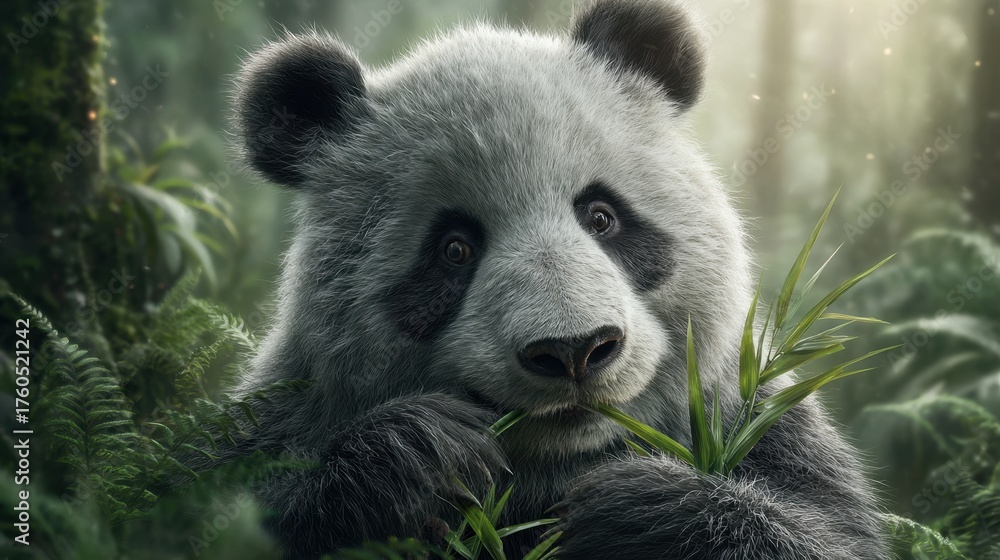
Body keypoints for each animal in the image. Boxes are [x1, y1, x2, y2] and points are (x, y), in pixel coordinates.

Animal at [230, 0, 886, 557]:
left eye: (601, 216)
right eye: (454, 249)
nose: (574, 350)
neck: (559, 468)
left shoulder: (760, 423)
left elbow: (829, 533)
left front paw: (637, 516)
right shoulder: (285, 412)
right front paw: (418, 459)